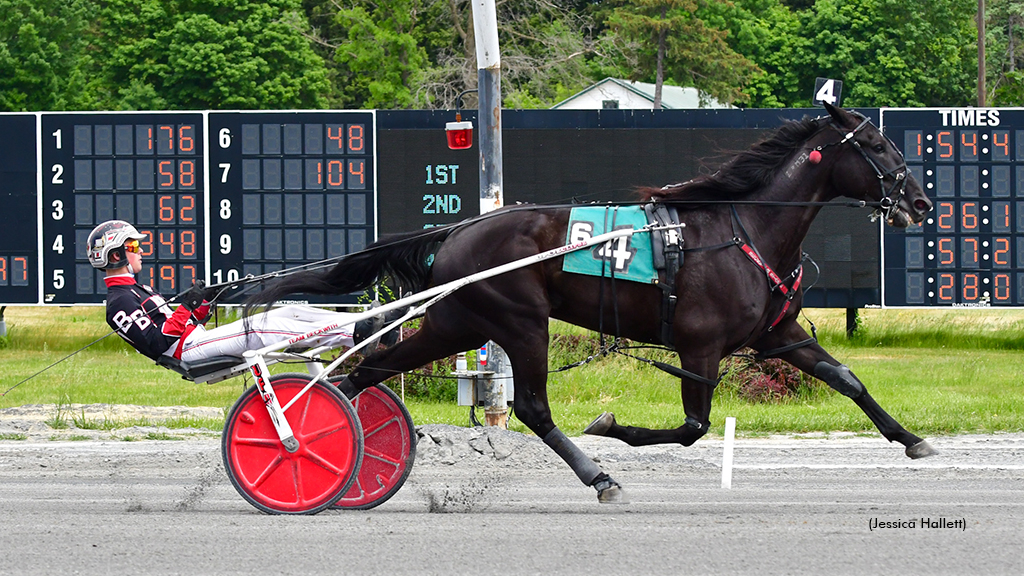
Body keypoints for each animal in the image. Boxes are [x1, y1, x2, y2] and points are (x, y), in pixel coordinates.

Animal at [249, 105, 937, 500]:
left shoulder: (776, 334)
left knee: (366, 373)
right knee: (530, 405)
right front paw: (610, 429)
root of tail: (457, 232)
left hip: (458, 321)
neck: (742, 230)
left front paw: (912, 439)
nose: (923, 202)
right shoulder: (701, 345)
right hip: (519, 321)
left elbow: (846, 378)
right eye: (877, 146)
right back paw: (598, 476)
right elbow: (692, 428)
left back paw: (337, 454)